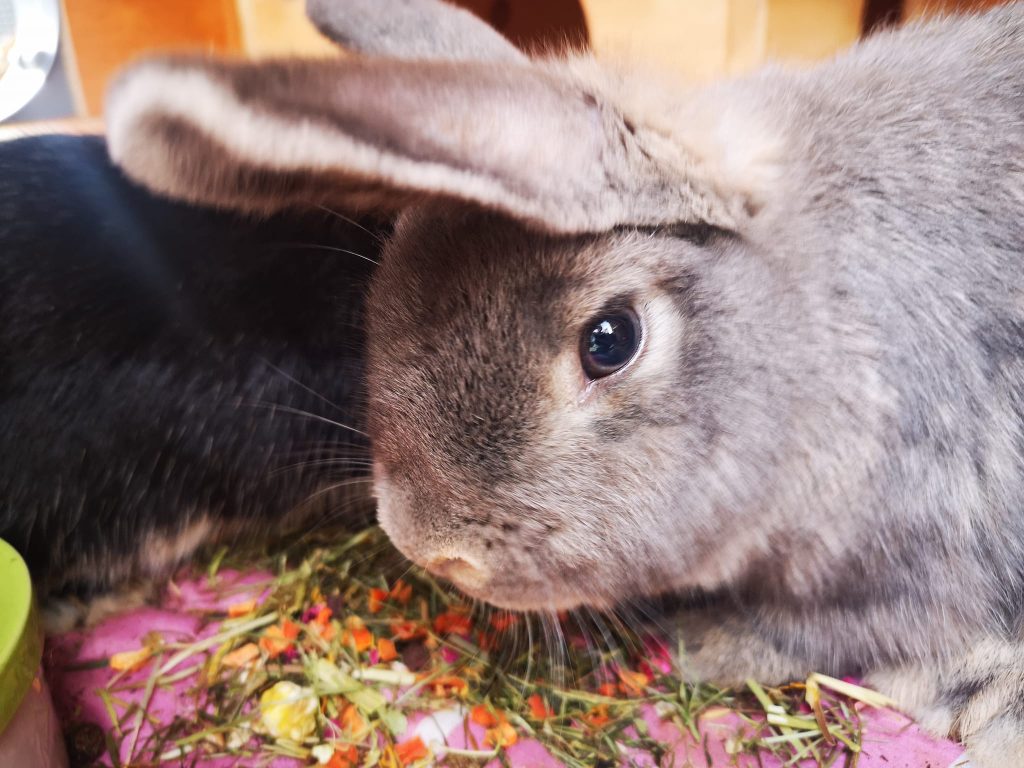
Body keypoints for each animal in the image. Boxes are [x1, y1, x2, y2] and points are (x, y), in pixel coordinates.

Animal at [103, 0, 1024, 763]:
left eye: (610, 340)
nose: (427, 544)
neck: (823, 324)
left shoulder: (915, 550)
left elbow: (817, 633)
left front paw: (699, 647)